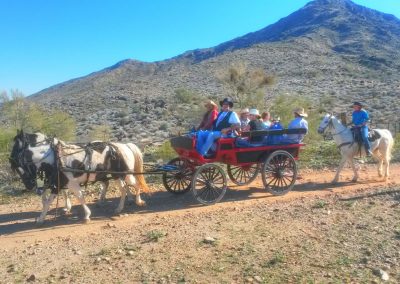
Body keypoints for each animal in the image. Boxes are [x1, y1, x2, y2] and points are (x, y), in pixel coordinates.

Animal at [9, 130, 150, 224]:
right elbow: (48, 201)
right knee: (122, 189)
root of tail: (123, 146)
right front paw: (41, 218)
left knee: (135, 184)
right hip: (117, 176)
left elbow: (80, 197)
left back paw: (138, 201)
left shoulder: (71, 184)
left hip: (126, 174)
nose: (29, 185)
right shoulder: (58, 184)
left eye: (16, 149)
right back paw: (119, 207)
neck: (55, 157)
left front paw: (86, 215)